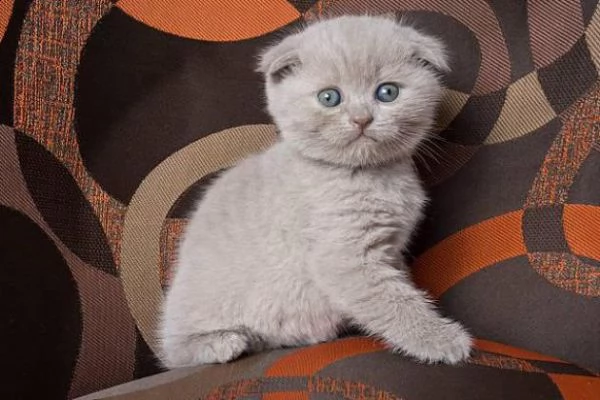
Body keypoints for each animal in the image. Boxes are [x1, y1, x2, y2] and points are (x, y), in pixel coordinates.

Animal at [161, 15, 474, 368]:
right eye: (329, 98)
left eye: (387, 92)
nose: (362, 119)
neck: (366, 175)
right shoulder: (344, 256)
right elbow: (393, 302)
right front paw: (441, 339)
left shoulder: (390, 250)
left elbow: (399, 288)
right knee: (176, 351)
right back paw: (223, 343)